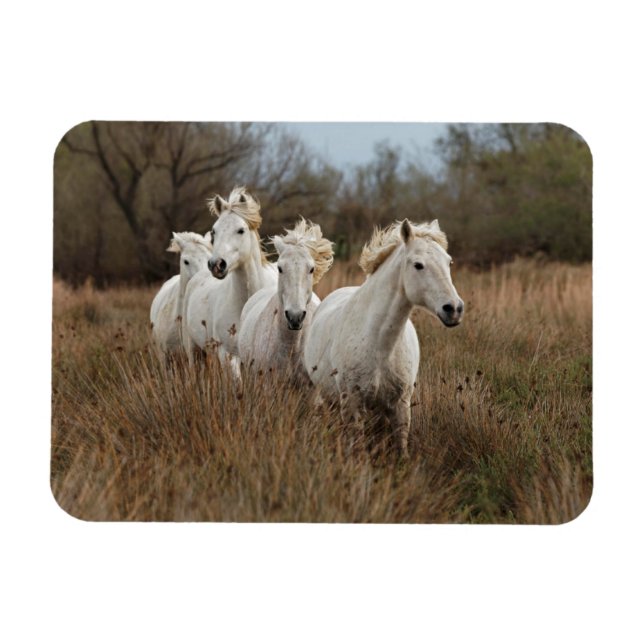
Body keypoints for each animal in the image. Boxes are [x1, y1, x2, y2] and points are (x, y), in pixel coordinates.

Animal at [303, 219, 464, 456]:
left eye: (449, 262)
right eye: (418, 265)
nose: (454, 309)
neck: (379, 344)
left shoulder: (400, 406)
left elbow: (401, 448)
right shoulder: (352, 406)